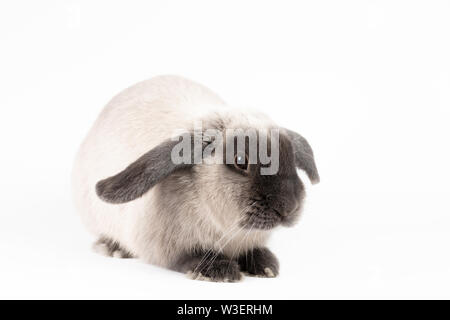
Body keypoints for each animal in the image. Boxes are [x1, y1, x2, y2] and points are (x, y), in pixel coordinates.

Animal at [72, 74, 318, 280]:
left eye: (291, 156)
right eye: (240, 160)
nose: (288, 207)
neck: (230, 232)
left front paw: (266, 265)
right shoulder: (166, 247)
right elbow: (185, 257)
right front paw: (218, 270)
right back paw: (112, 248)